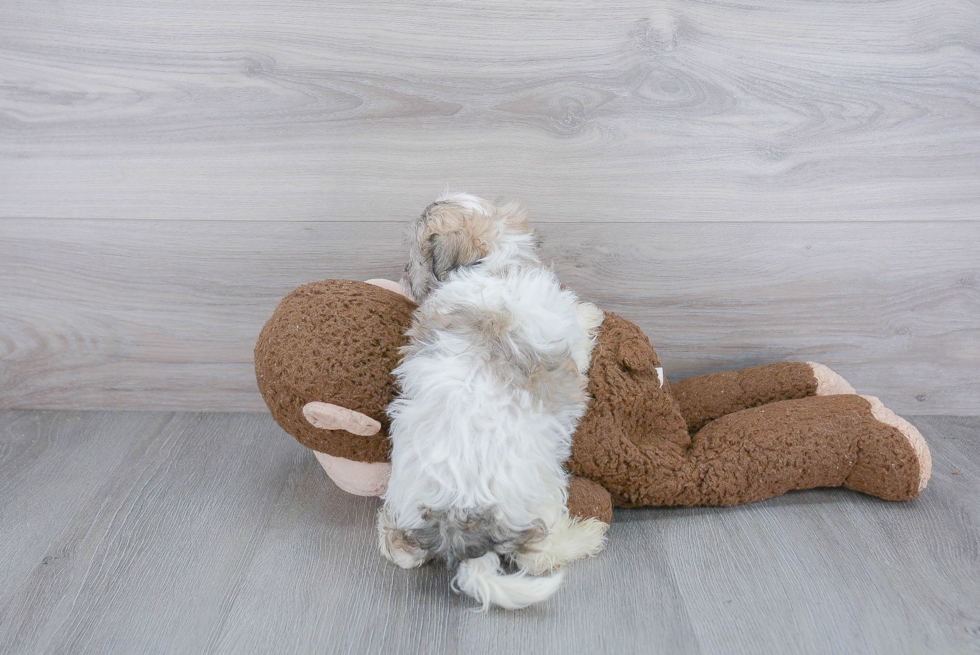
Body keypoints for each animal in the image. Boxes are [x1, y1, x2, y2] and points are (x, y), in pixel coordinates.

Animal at [378, 193, 608, 608]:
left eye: (413, 256)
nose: (402, 275)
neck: (491, 265)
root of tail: (458, 517)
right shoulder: (568, 341)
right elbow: (580, 338)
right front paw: (588, 312)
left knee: (397, 548)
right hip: (540, 489)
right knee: (539, 556)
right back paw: (585, 536)